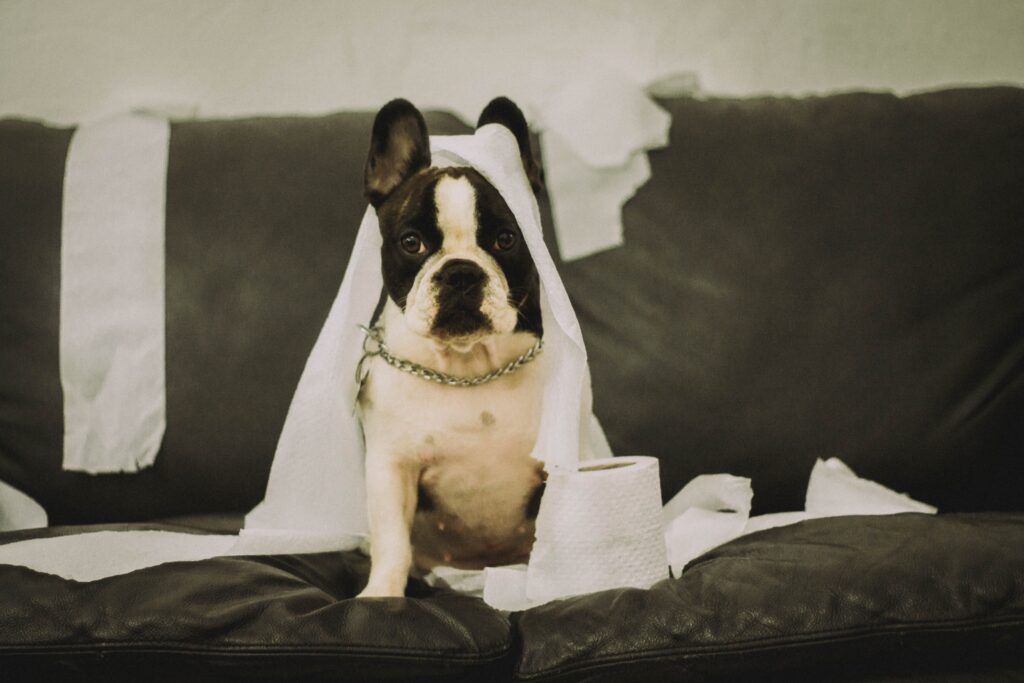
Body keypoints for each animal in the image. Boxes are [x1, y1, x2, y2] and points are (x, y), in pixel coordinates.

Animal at [360, 96, 552, 598]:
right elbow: (393, 542)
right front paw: (381, 596)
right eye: (411, 242)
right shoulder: (392, 468)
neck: (468, 366)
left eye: (506, 239)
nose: (461, 272)